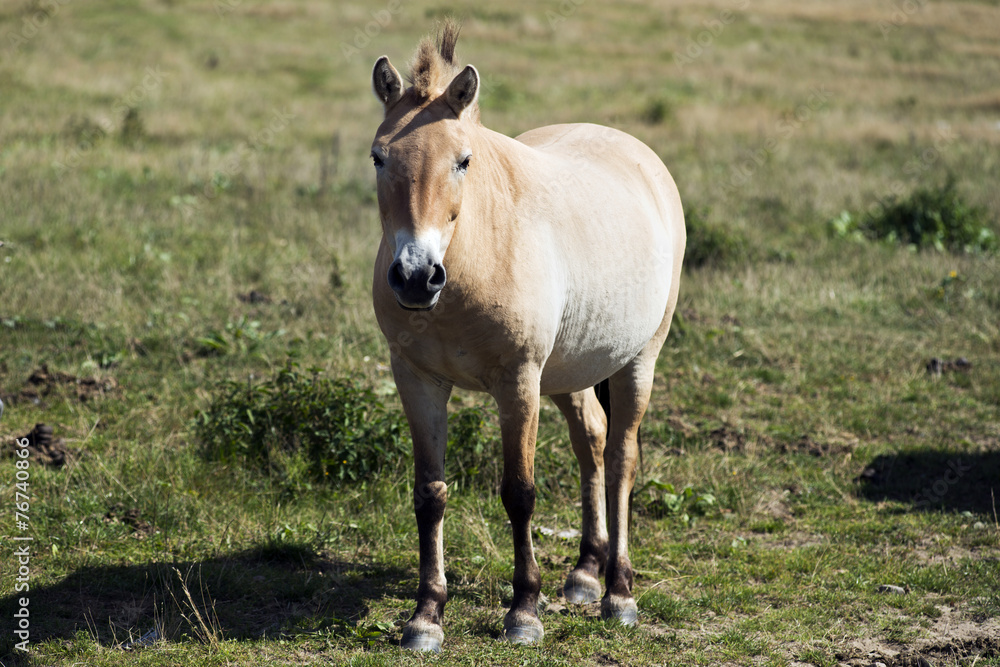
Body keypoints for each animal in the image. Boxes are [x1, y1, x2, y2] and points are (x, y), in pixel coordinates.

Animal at [370, 24, 688, 652]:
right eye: (377, 157)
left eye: (463, 161)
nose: (416, 276)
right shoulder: (417, 379)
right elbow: (429, 494)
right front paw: (426, 615)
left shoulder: (518, 382)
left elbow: (519, 493)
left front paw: (523, 611)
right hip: (568, 373)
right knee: (592, 439)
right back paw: (586, 572)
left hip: (639, 359)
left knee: (620, 458)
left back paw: (618, 593)